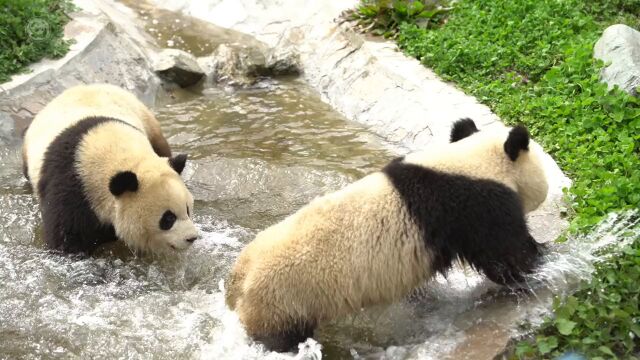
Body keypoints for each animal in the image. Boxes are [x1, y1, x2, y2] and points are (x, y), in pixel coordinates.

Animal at [225, 117, 552, 352]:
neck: (472, 161)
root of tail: (238, 278)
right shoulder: (472, 205)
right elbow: (505, 256)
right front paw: (547, 261)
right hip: (284, 299)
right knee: (280, 339)